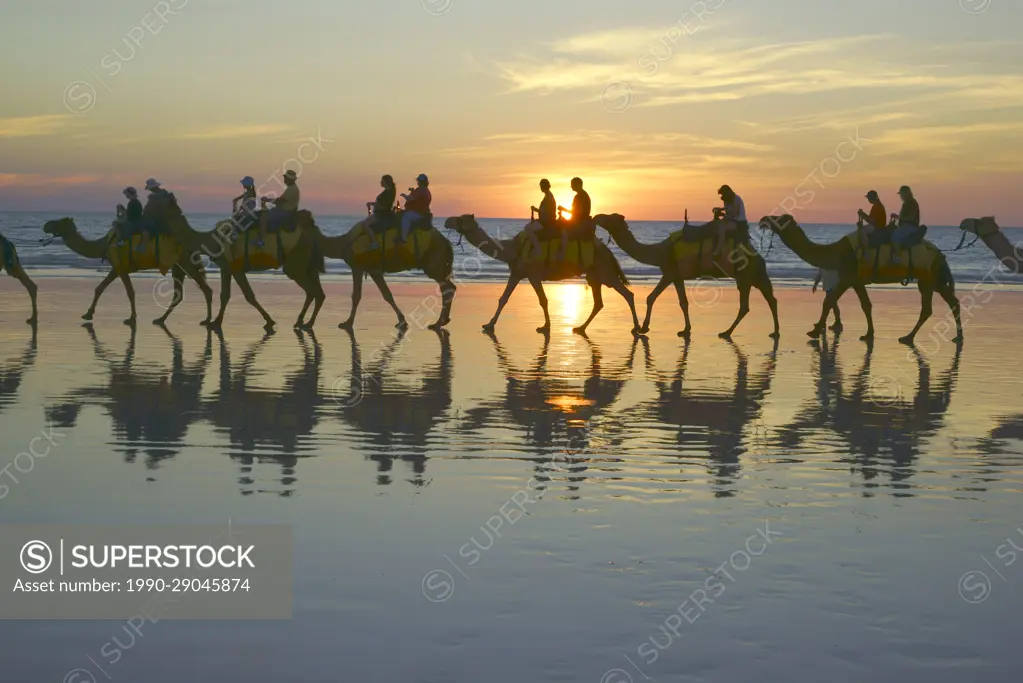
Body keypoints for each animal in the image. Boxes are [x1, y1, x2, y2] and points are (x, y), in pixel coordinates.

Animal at [306, 215, 456, 327]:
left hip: (434, 264)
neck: (344, 243)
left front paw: (347, 323)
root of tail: (446, 242)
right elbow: (387, 294)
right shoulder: (373, 270)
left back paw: (439, 323)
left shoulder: (358, 267)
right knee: (448, 287)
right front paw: (402, 321)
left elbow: (356, 295)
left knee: (447, 287)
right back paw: (442, 322)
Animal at [448, 214, 638, 335]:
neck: (512, 249)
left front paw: (545, 326)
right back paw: (580, 328)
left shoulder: (532, 274)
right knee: (599, 302)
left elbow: (543, 300)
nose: (447, 221)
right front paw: (489, 325)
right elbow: (503, 298)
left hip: (604, 272)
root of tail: (607, 251)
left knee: (627, 294)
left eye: (460, 218)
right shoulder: (517, 273)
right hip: (594, 275)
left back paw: (637, 328)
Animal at [593, 213, 773, 339]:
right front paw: (685, 330)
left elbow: (651, 297)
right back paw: (773, 332)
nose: (596, 217)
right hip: (753, 276)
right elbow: (683, 302)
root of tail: (757, 255)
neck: (658, 251)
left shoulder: (669, 272)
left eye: (610, 217)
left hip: (746, 275)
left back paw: (727, 332)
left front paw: (643, 328)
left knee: (749, 305)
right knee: (769, 299)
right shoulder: (677, 276)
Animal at [761, 214, 957, 343]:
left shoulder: (848, 276)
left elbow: (829, 301)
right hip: (934, 278)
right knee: (951, 301)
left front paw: (814, 331)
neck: (836, 251)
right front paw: (868, 334)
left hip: (928, 277)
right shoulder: (856, 280)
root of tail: (939, 253)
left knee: (928, 308)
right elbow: (866, 305)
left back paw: (908, 337)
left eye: (779, 219)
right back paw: (957, 337)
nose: (763, 219)